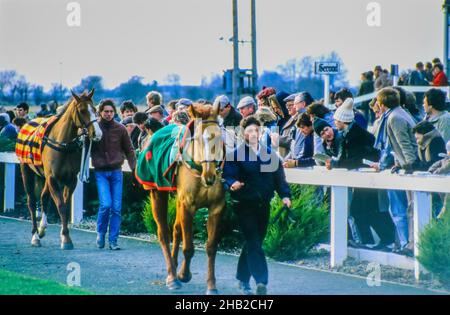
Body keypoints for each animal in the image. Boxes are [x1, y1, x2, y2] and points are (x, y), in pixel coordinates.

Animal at [17, 90, 102, 251]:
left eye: (95, 110)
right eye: (82, 110)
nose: (98, 134)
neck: (63, 144)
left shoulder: (71, 179)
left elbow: (65, 206)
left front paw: (64, 235)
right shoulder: (53, 178)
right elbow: (61, 206)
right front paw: (66, 239)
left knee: (44, 197)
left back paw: (42, 229)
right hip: (26, 170)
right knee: (31, 201)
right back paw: (35, 236)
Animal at [149, 102, 225, 296]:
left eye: (219, 136)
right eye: (197, 138)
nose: (210, 176)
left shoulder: (216, 207)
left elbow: (211, 247)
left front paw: (211, 286)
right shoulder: (188, 205)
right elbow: (189, 247)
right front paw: (184, 274)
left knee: (176, 229)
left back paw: (174, 265)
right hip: (157, 193)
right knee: (163, 232)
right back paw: (172, 276)